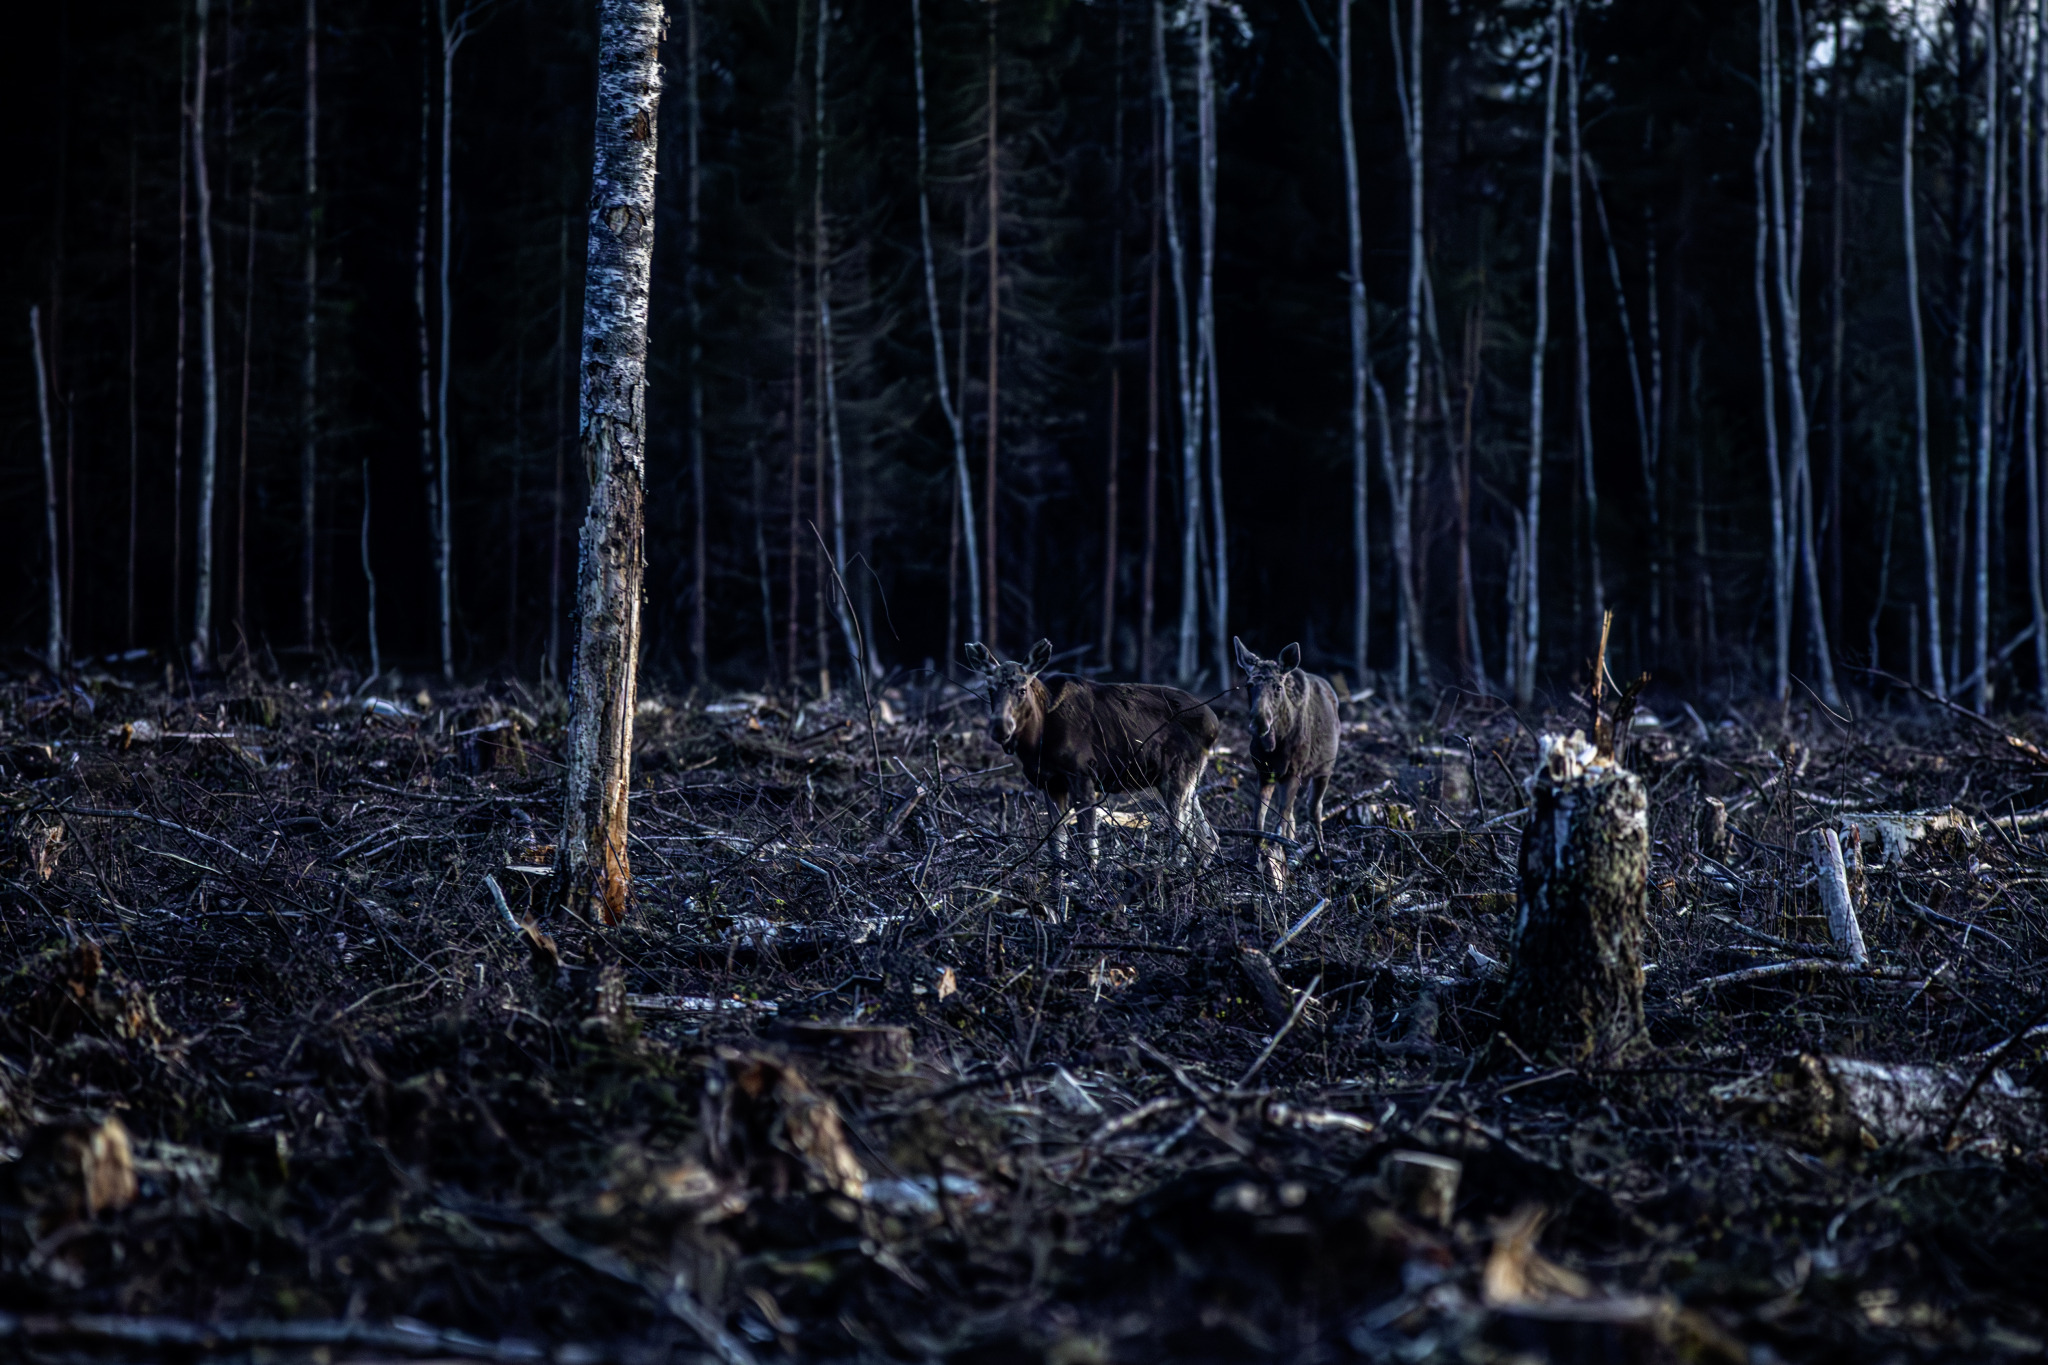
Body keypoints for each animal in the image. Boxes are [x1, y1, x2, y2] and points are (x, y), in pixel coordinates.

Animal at [964, 639, 1220, 874]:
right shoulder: (1050, 783)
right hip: (1186, 779)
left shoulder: (1082, 775)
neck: (1038, 738)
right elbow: (1057, 844)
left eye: (1021, 690)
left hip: (1178, 774)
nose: (1000, 727)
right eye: (990, 689)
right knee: (1209, 837)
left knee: (1184, 837)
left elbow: (1089, 845)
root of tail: (1215, 726)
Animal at [1232, 637, 1339, 883]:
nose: (1259, 722)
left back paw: (1320, 854)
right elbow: (1258, 825)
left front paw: (1279, 870)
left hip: (1324, 769)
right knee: (1292, 815)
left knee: (1313, 808)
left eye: (1277, 687)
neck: (1274, 748)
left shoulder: (1293, 772)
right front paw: (1258, 863)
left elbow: (1278, 827)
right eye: (1249, 684)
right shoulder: (1265, 773)